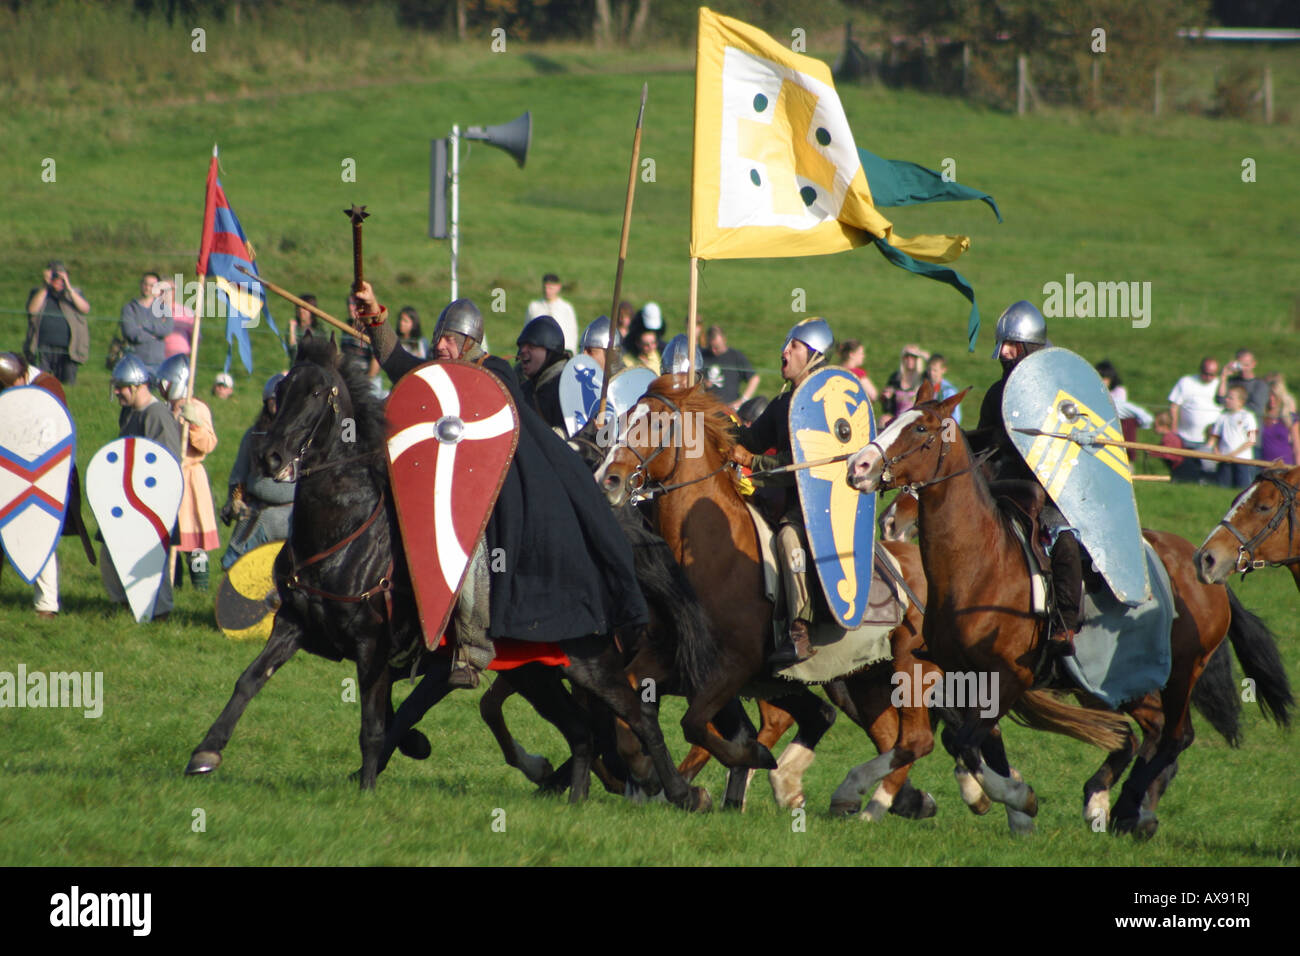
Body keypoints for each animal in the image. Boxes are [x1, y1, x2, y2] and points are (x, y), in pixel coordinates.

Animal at [184, 340, 712, 811]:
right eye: (282, 390)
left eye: (317, 393)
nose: (270, 458)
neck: (345, 532)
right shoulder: (293, 625)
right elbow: (250, 680)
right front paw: (206, 751)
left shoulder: (374, 647)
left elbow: (376, 724)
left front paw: (366, 789)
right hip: (538, 671)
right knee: (583, 731)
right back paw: (578, 797)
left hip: (590, 661)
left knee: (637, 716)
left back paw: (683, 793)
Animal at [842, 392, 1289, 832]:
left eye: (920, 428)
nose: (858, 467)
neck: (980, 564)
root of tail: (1203, 565)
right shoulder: (951, 673)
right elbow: (952, 744)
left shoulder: (1009, 678)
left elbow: (963, 743)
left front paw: (1017, 798)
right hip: (1114, 684)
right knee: (1145, 732)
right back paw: (1106, 799)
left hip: (1181, 672)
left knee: (1174, 736)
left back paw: (1128, 807)